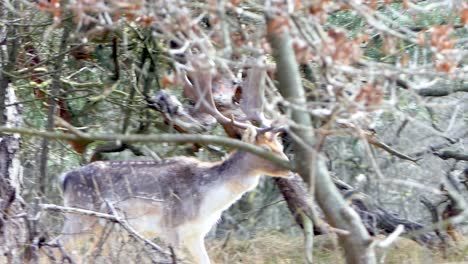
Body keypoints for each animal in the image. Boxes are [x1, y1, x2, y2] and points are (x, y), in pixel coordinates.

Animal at [52, 126, 288, 264]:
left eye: (280, 145)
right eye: (265, 149)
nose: (289, 166)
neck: (208, 201)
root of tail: (65, 178)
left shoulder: (196, 234)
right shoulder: (170, 226)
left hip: (100, 228)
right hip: (80, 216)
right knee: (55, 246)